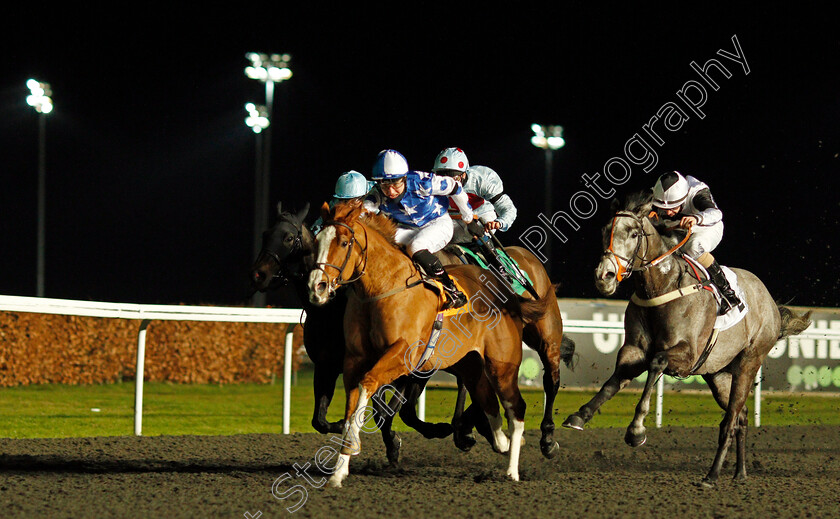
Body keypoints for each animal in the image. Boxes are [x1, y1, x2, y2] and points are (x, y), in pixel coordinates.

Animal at [308, 201, 556, 486]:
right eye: (316, 241)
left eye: (344, 242)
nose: (317, 286)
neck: (384, 288)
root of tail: (503, 287)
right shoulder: (353, 360)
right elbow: (353, 403)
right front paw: (339, 470)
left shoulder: (403, 356)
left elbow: (367, 384)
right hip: (470, 364)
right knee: (487, 398)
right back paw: (499, 442)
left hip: (502, 364)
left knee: (517, 405)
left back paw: (513, 469)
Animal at [560, 191, 812, 488]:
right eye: (604, 231)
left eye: (633, 233)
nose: (604, 276)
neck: (663, 286)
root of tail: (770, 302)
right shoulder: (634, 351)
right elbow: (613, 382)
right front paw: (580, 415)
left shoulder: (686, 355)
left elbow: (656, 362)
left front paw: (636, 430)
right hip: (718, 374)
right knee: (741, 416)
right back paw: (739, 473)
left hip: (749, 363)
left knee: (729, 421)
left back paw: (712, 475)